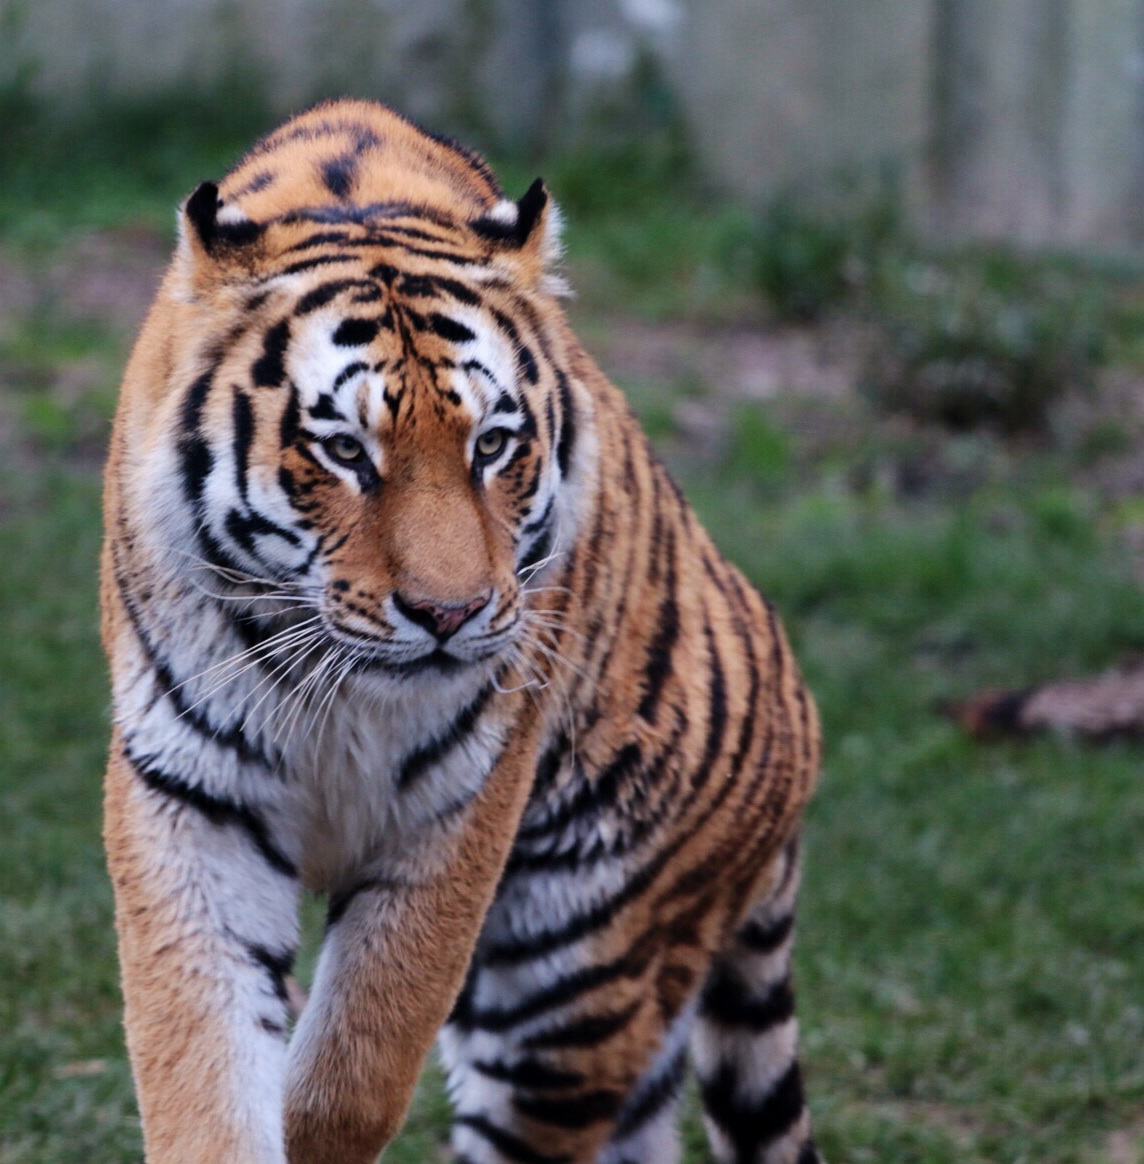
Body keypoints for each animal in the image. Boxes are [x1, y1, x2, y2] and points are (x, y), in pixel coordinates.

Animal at [100, 98, 823, 1164]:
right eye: (344, 451)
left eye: (492, 444)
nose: (448, 614)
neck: (338, 691)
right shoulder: (193, 803)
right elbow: (201, 1068)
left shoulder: (459, 813)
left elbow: (355, 1067)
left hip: (567, 972)